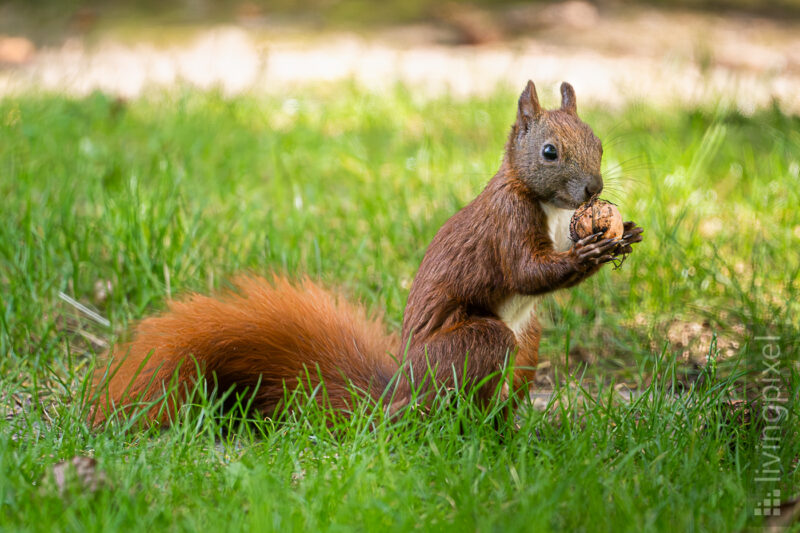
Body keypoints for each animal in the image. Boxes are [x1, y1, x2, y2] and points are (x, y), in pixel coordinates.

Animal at [89, 81, 644, 426]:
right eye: (549, 152)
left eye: (598, 142)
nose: (593, 190)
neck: (547, 207)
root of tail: (396, 395)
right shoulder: (506, 226)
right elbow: (527, 273)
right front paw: (589, 254)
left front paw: (625, 232)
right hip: (479, 344)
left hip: (528, 345)